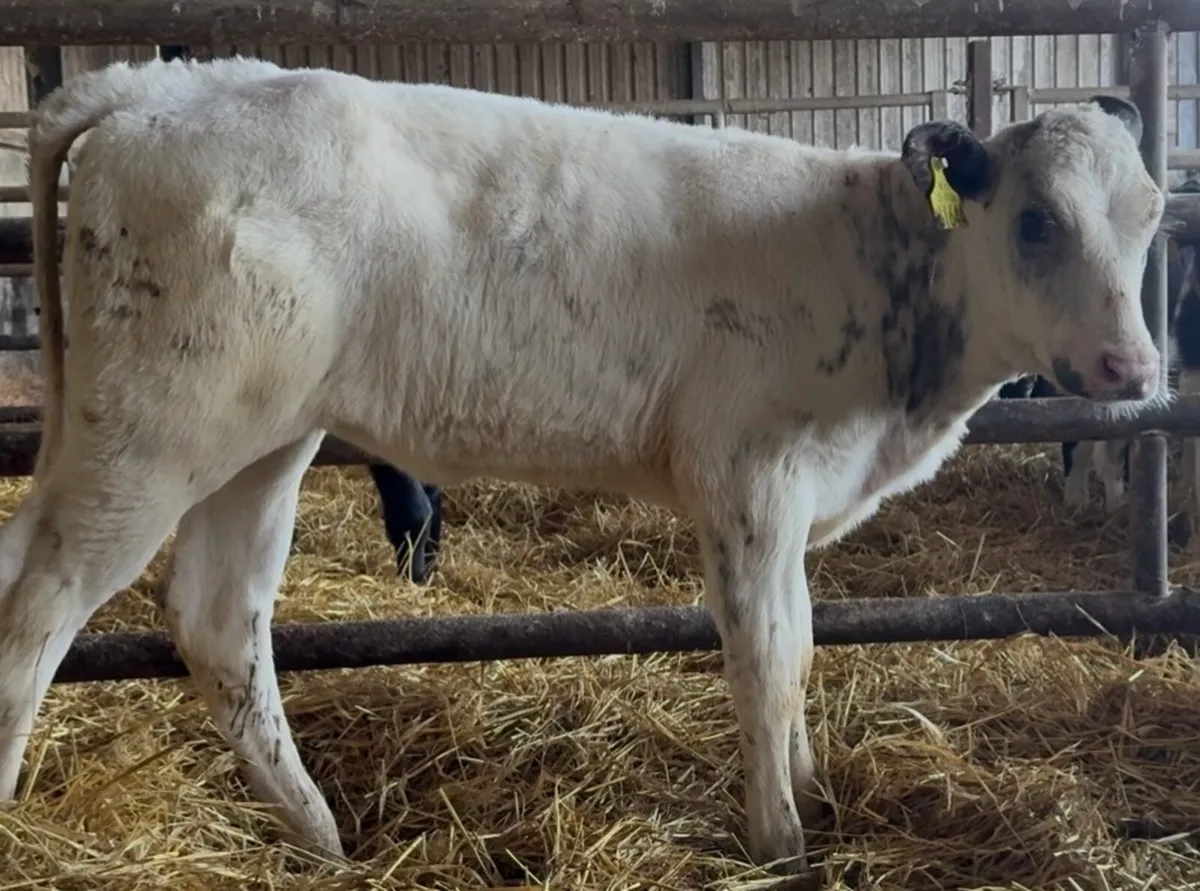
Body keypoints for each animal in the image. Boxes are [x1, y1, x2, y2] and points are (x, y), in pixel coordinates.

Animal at [0, 57, 1164, 877]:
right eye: (1035, 220)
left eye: (1152, 210)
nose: (1136, 366)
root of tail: (163, 85)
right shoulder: (747, 480)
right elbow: (766, 659)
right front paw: (781, 844)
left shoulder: (793, 502)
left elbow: (802, 647)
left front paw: (815, 795)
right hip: (152, 433)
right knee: (38, 609)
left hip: (258, 440)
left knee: (215, 618)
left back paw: (323, 842)